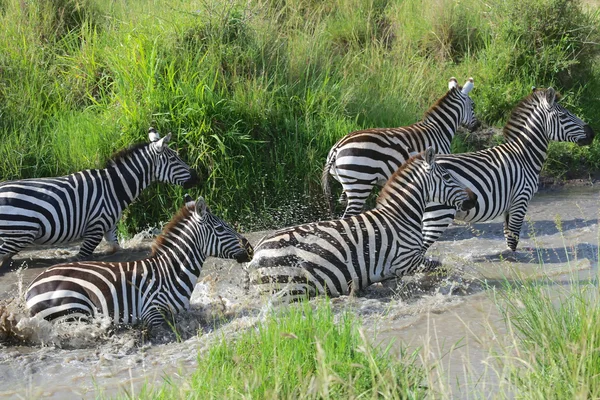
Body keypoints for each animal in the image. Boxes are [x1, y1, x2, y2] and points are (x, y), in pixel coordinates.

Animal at [0, 128, 199, 266]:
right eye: (174, 159)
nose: (197, 177)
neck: (113, 187)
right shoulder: (95, 227)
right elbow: (81, 257)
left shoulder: (109, 227)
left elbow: (116, 249)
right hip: (19, 233)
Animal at [25, 195, 251, 328]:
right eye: (221, 228)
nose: (249, 248)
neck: (170, 273)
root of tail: (32, 286)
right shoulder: (153, 312)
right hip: (74, 312)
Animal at [248, 148, 478, 302]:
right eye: (448, 176)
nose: (474, 198)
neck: (400, 216)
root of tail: (257, 252)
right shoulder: (405, 260)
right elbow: (441, 267)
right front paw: (447, 285)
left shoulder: (392, 268)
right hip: (290, 288)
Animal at [324, 76, 478, 217]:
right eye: (473, 106)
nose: (478, 126)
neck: (439, 129)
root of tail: (337, 147)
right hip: (360, 184)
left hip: (350, 184)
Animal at [422, 87, 596, 253]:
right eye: (564, 115)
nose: (592, 133)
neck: (524, 155)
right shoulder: (521, 200)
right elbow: (513, 240)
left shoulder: (509, 206)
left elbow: (508, 238)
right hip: (438, 214)